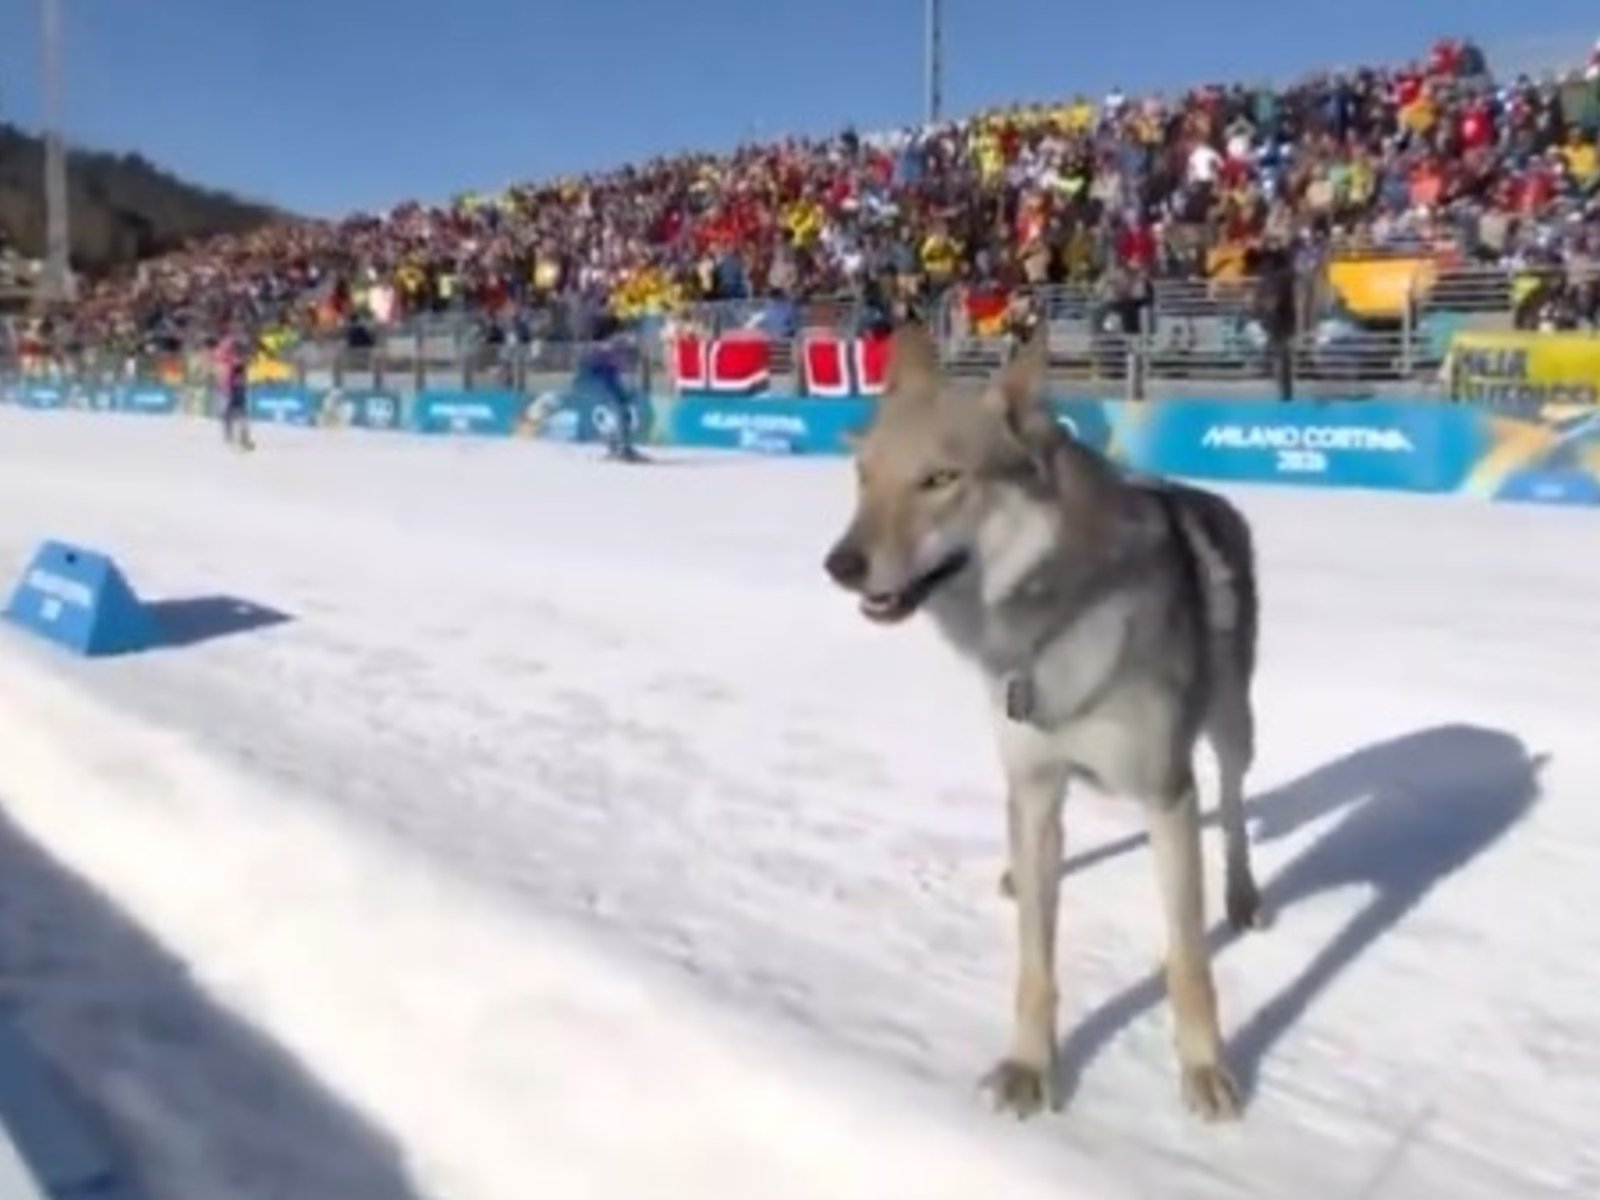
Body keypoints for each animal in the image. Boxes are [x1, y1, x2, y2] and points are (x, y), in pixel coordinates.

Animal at [823, 323, 1267, 1122]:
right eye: (864, 476)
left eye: (940, 479)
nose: (840, 564)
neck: (1046, 632)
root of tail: (1207, 496)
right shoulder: (1033, 786)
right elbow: (1035, 963)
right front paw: (1028, 1069)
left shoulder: (1167, 794)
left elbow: (1188, 963)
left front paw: (1206, 1072)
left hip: (1231, 730)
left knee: (1237, 806)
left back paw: (1244, 898)